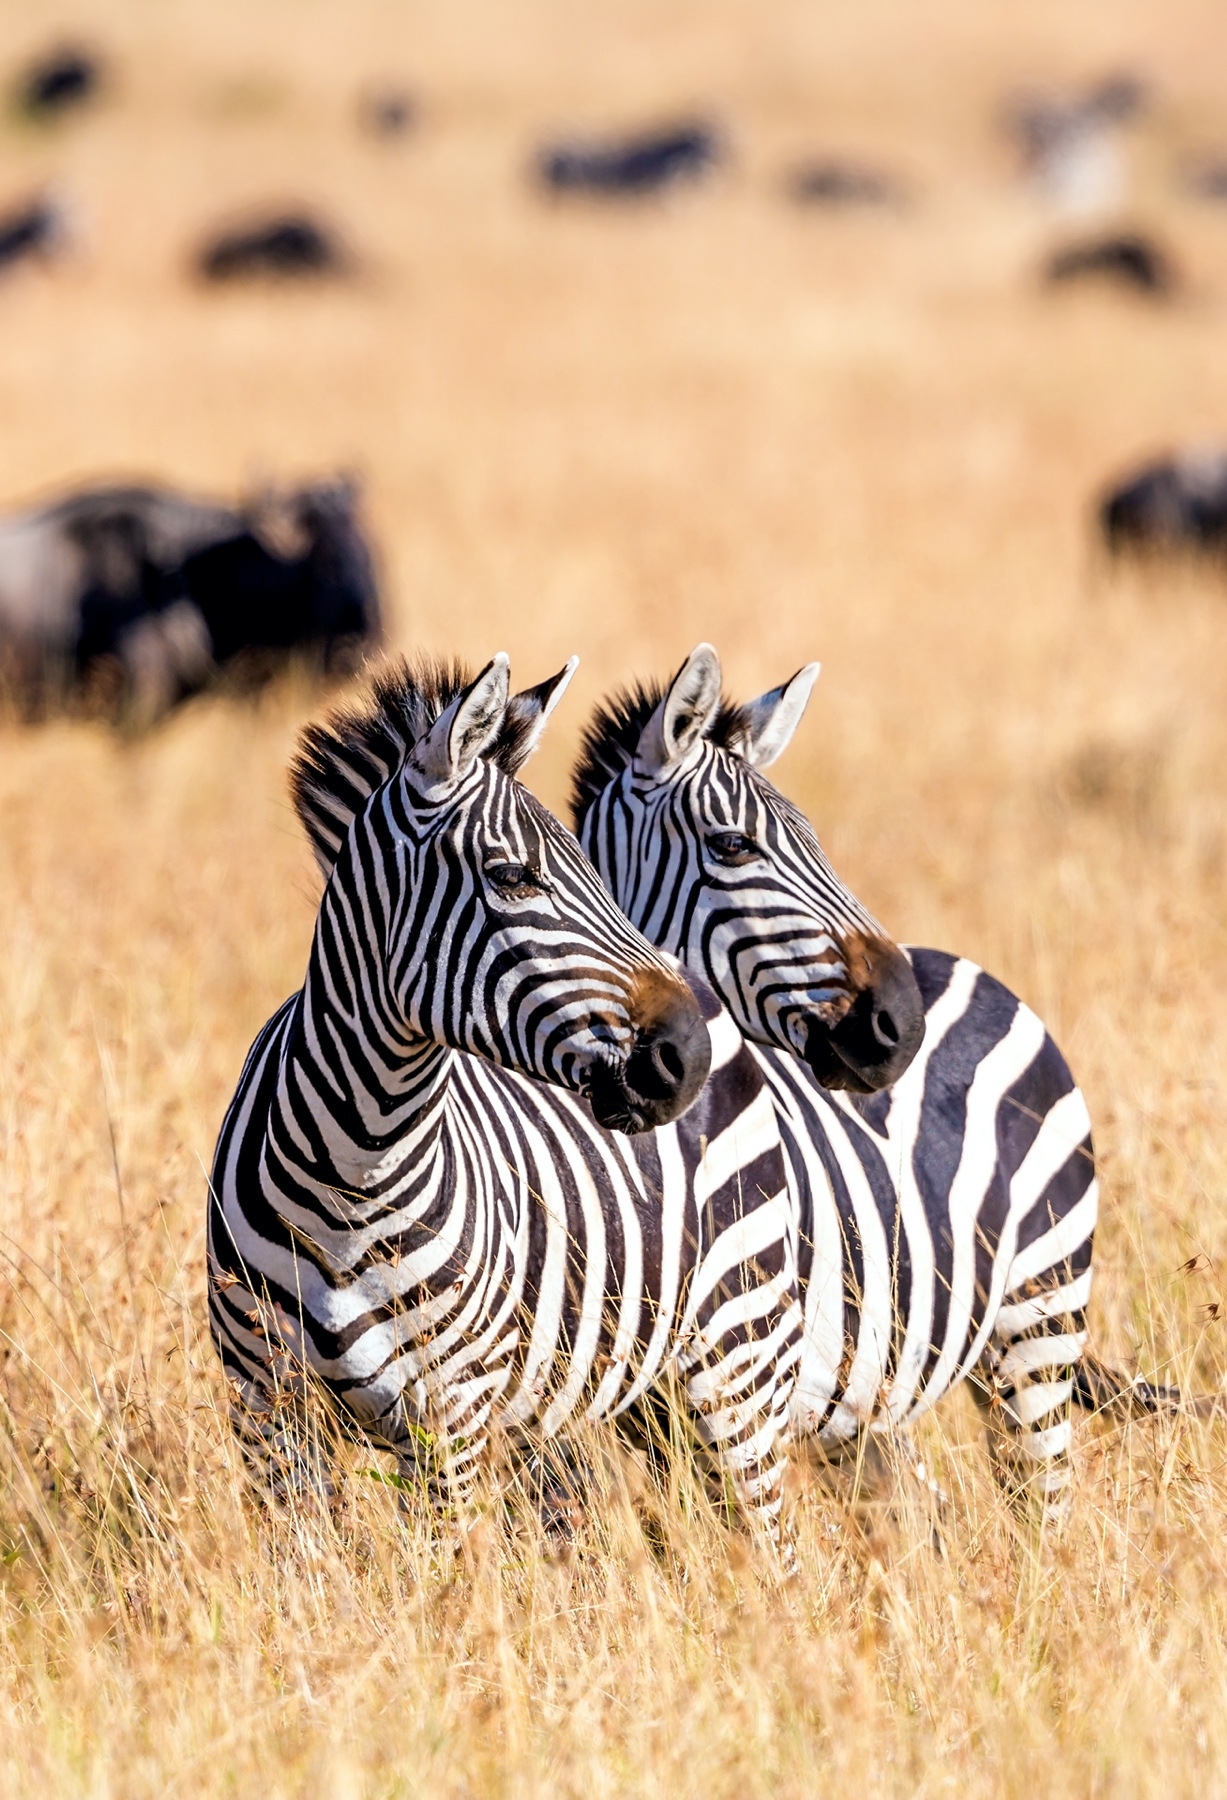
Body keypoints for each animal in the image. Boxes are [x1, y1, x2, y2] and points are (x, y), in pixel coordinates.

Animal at [207, 649, 904, 1559]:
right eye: (512, 876)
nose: (684, 1054)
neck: (354, 1164)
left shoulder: (453, 1417)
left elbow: (444, 1580)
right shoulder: (267, 1409)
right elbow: (311, 1576)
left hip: (733, 1358)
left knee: (773, 1547)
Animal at [571, 643, 1172, 1526]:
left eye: (812, 838)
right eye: (733, 846)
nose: (902, 1020)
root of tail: (969, 970)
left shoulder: (740, 1379)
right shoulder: (653, 1416)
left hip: (1036, 1319)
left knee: (1041, 1512)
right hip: (869, 1401)